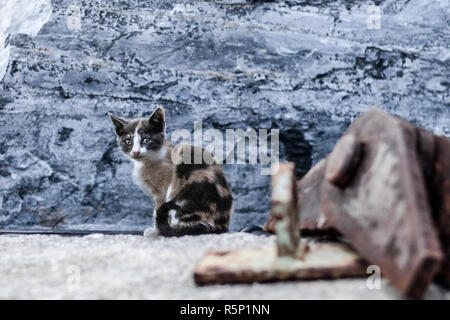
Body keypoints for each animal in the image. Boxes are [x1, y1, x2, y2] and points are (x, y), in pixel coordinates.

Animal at [108, 107, 234, 238]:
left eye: (146, 140)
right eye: (128, 141)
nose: (136, 152)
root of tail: (220, 226)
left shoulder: (162, 191)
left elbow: (157, 209)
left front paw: (156, 231)